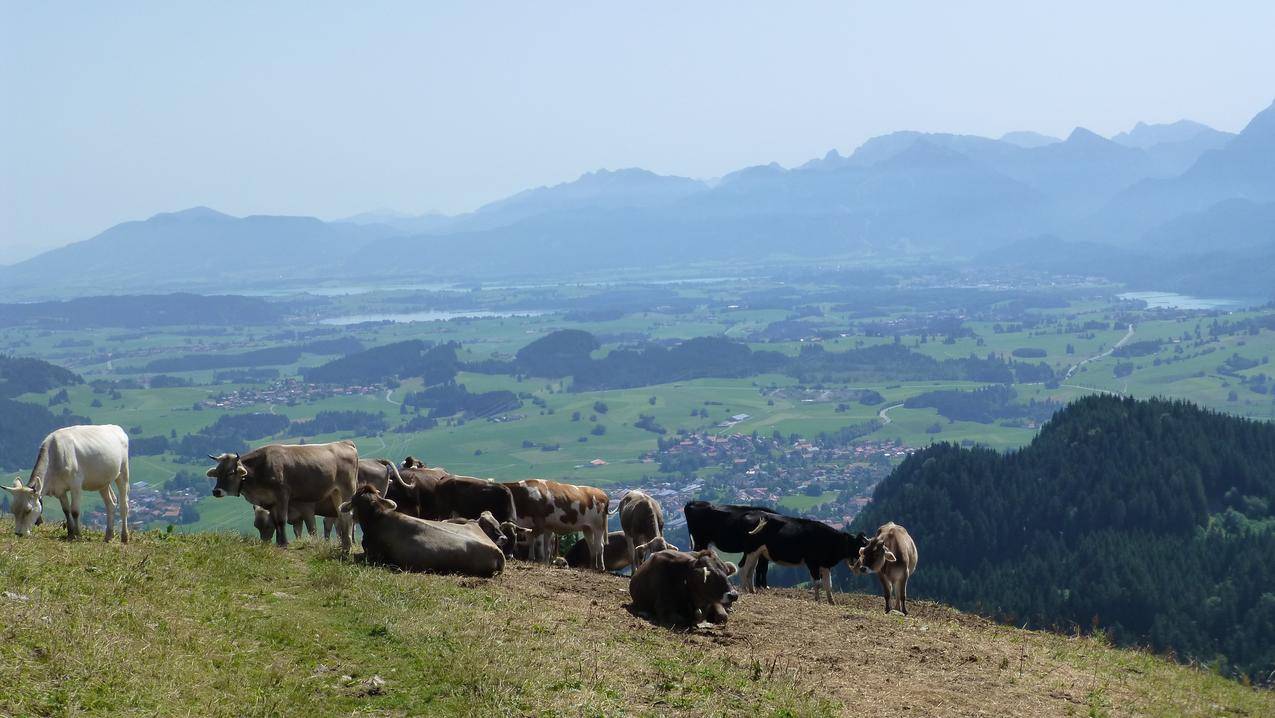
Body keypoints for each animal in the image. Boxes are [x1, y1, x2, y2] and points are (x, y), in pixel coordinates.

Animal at [2, 423, 131, 543]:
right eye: (13, 509)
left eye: (28, 510)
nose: (18, 533)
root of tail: (116, 427)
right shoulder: (60, 490)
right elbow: (66, 510)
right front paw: (70, 534)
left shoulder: (76, 485)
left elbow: (75, 511)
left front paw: (78, 535)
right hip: (102, 481)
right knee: (111, 503)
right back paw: (108, 536)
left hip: (123, 472)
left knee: (124, 505)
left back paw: (124, 537)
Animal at [205, 441, 357, 553]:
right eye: (217, 473)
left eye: (230, 473)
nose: (216, 491)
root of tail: (344, 443)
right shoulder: (270, 501)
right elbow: (276, 521)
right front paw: (278, 542)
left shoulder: (283, 495)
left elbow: (282, 520)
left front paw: (284, 542)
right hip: (335, 493)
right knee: (341, 516)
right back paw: (344, 544)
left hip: (347, 489)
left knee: (348, 516)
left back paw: (348, 546)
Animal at [739, 515, 867, 604]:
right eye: (861, 545)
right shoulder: (812, 563)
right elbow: (817, 583)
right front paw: (817, 600)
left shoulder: (825, 565)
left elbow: (828, 584)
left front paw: (832, 602)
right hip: (751, 551)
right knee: (744, 569)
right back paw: (744, 590)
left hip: (756, 553)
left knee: (750, 570)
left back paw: (752, 590)